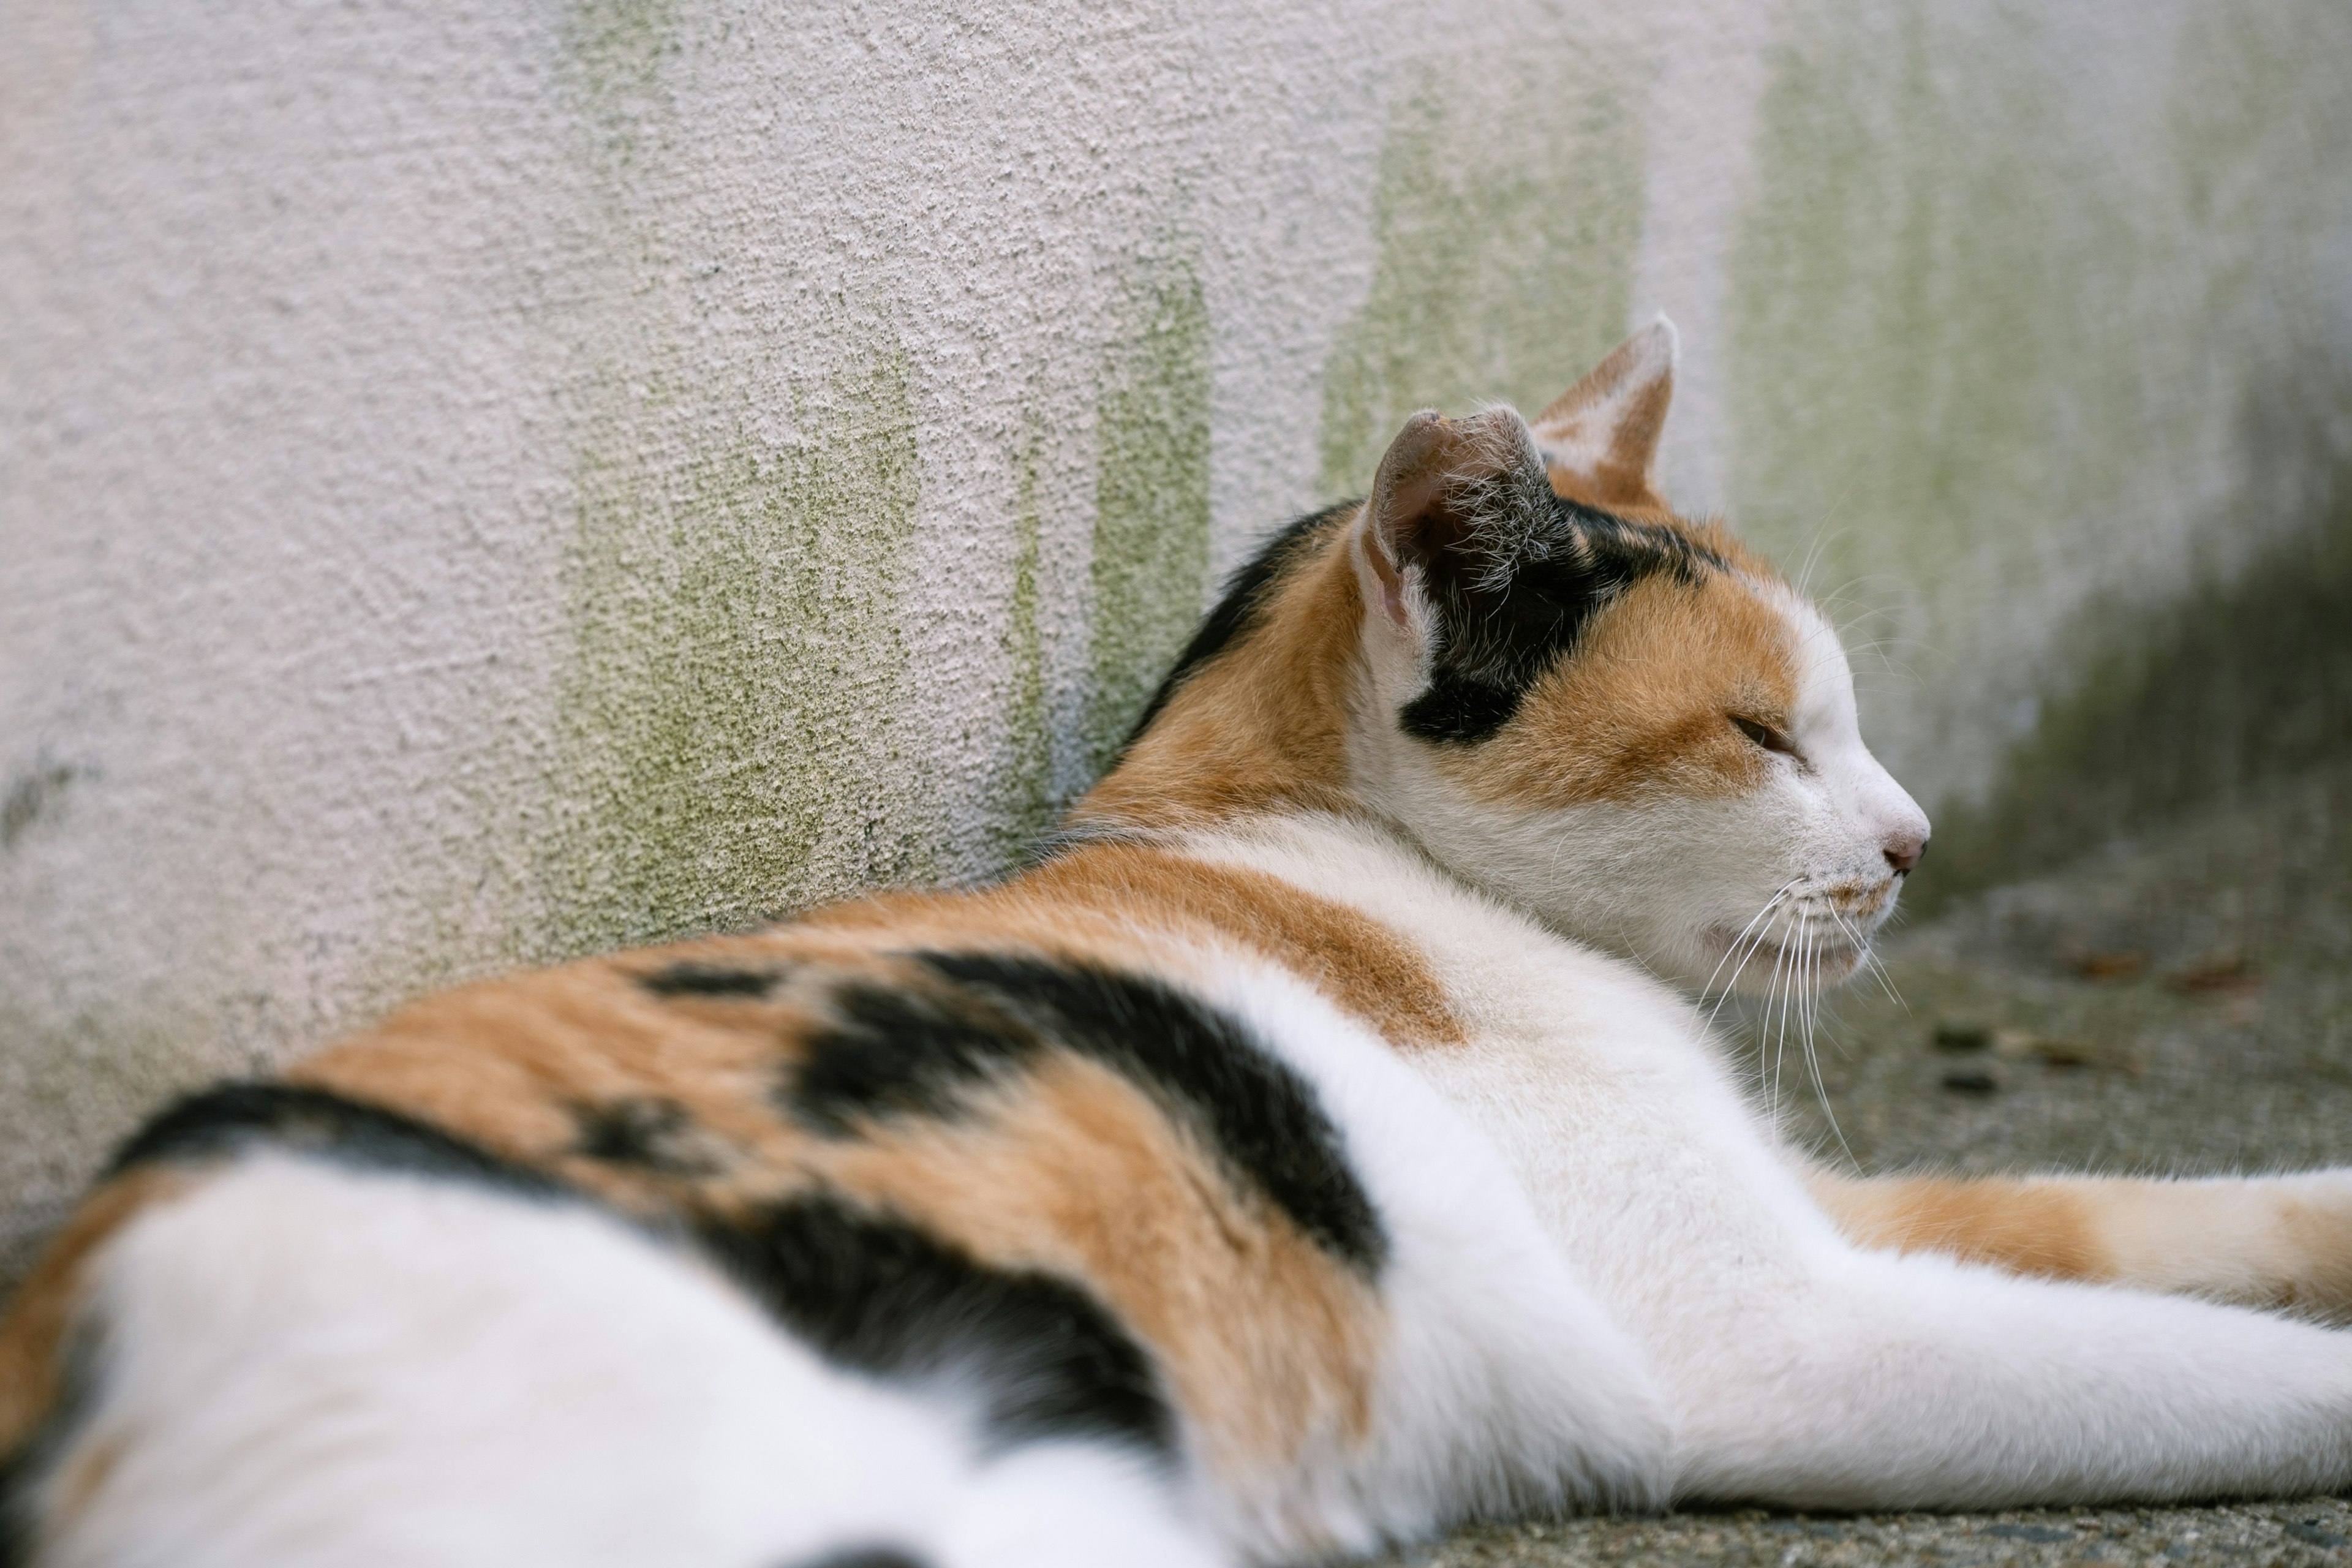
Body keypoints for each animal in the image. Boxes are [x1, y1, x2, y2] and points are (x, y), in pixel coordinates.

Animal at [4, 322, 2352, 1568]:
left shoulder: (1831, 1209)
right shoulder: (1792, 1335)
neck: (1298, 846)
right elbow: (2194, 1364)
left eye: (1841, 728)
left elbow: (2139, 1210)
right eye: (1766, 732)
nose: (1911, 839)